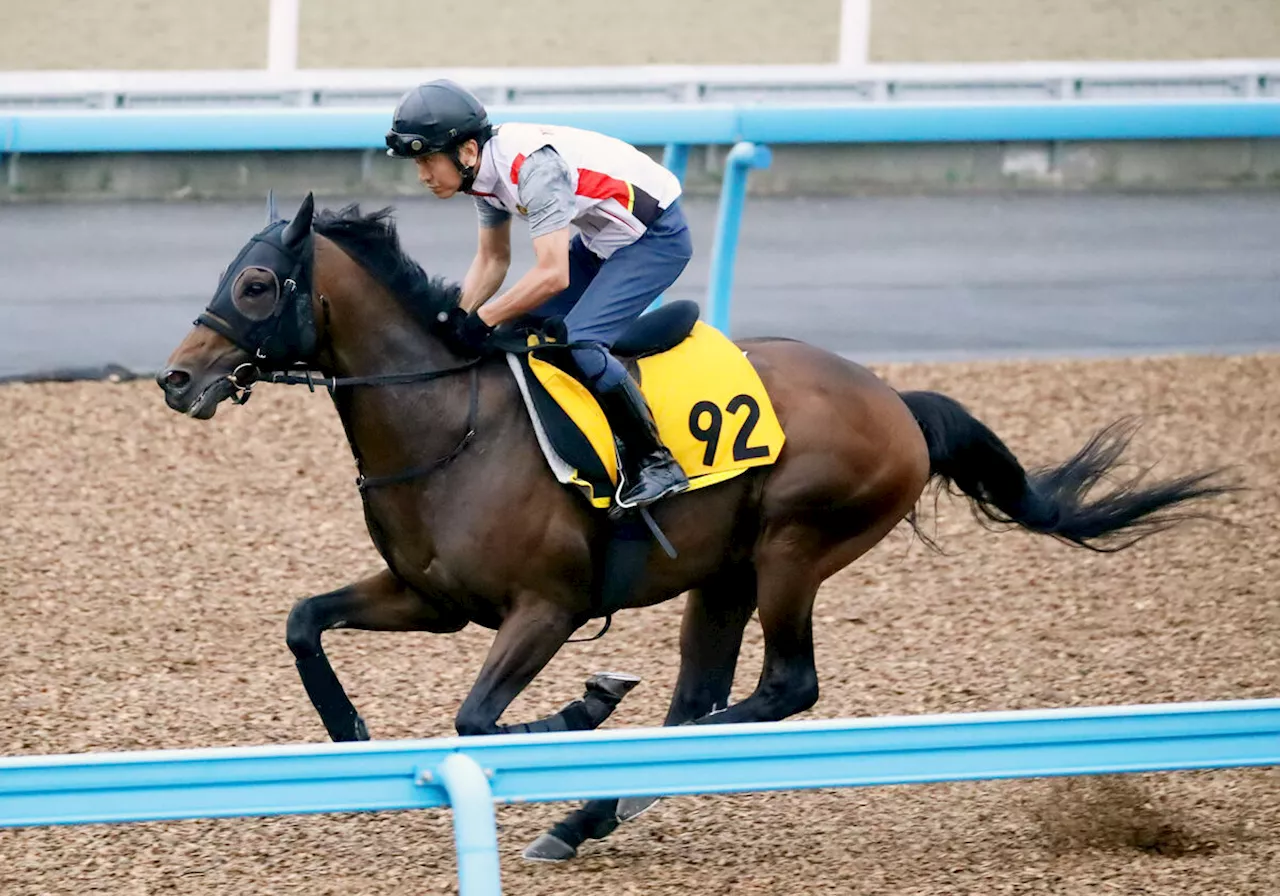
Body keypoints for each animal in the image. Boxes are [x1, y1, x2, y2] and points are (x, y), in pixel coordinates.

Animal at [154, 195, 1233, 860]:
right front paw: (347, 732)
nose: (175, 376)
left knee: (784, 686)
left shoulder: (545, 607)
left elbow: (476, 719)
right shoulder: (429, 597)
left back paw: (603, 795)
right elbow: (303, 618)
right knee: (700, 698)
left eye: (257, 284)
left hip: (795, 548)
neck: (450, 422)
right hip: (724, 573)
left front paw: (584, 706)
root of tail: (896, 399)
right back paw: (592, 814)